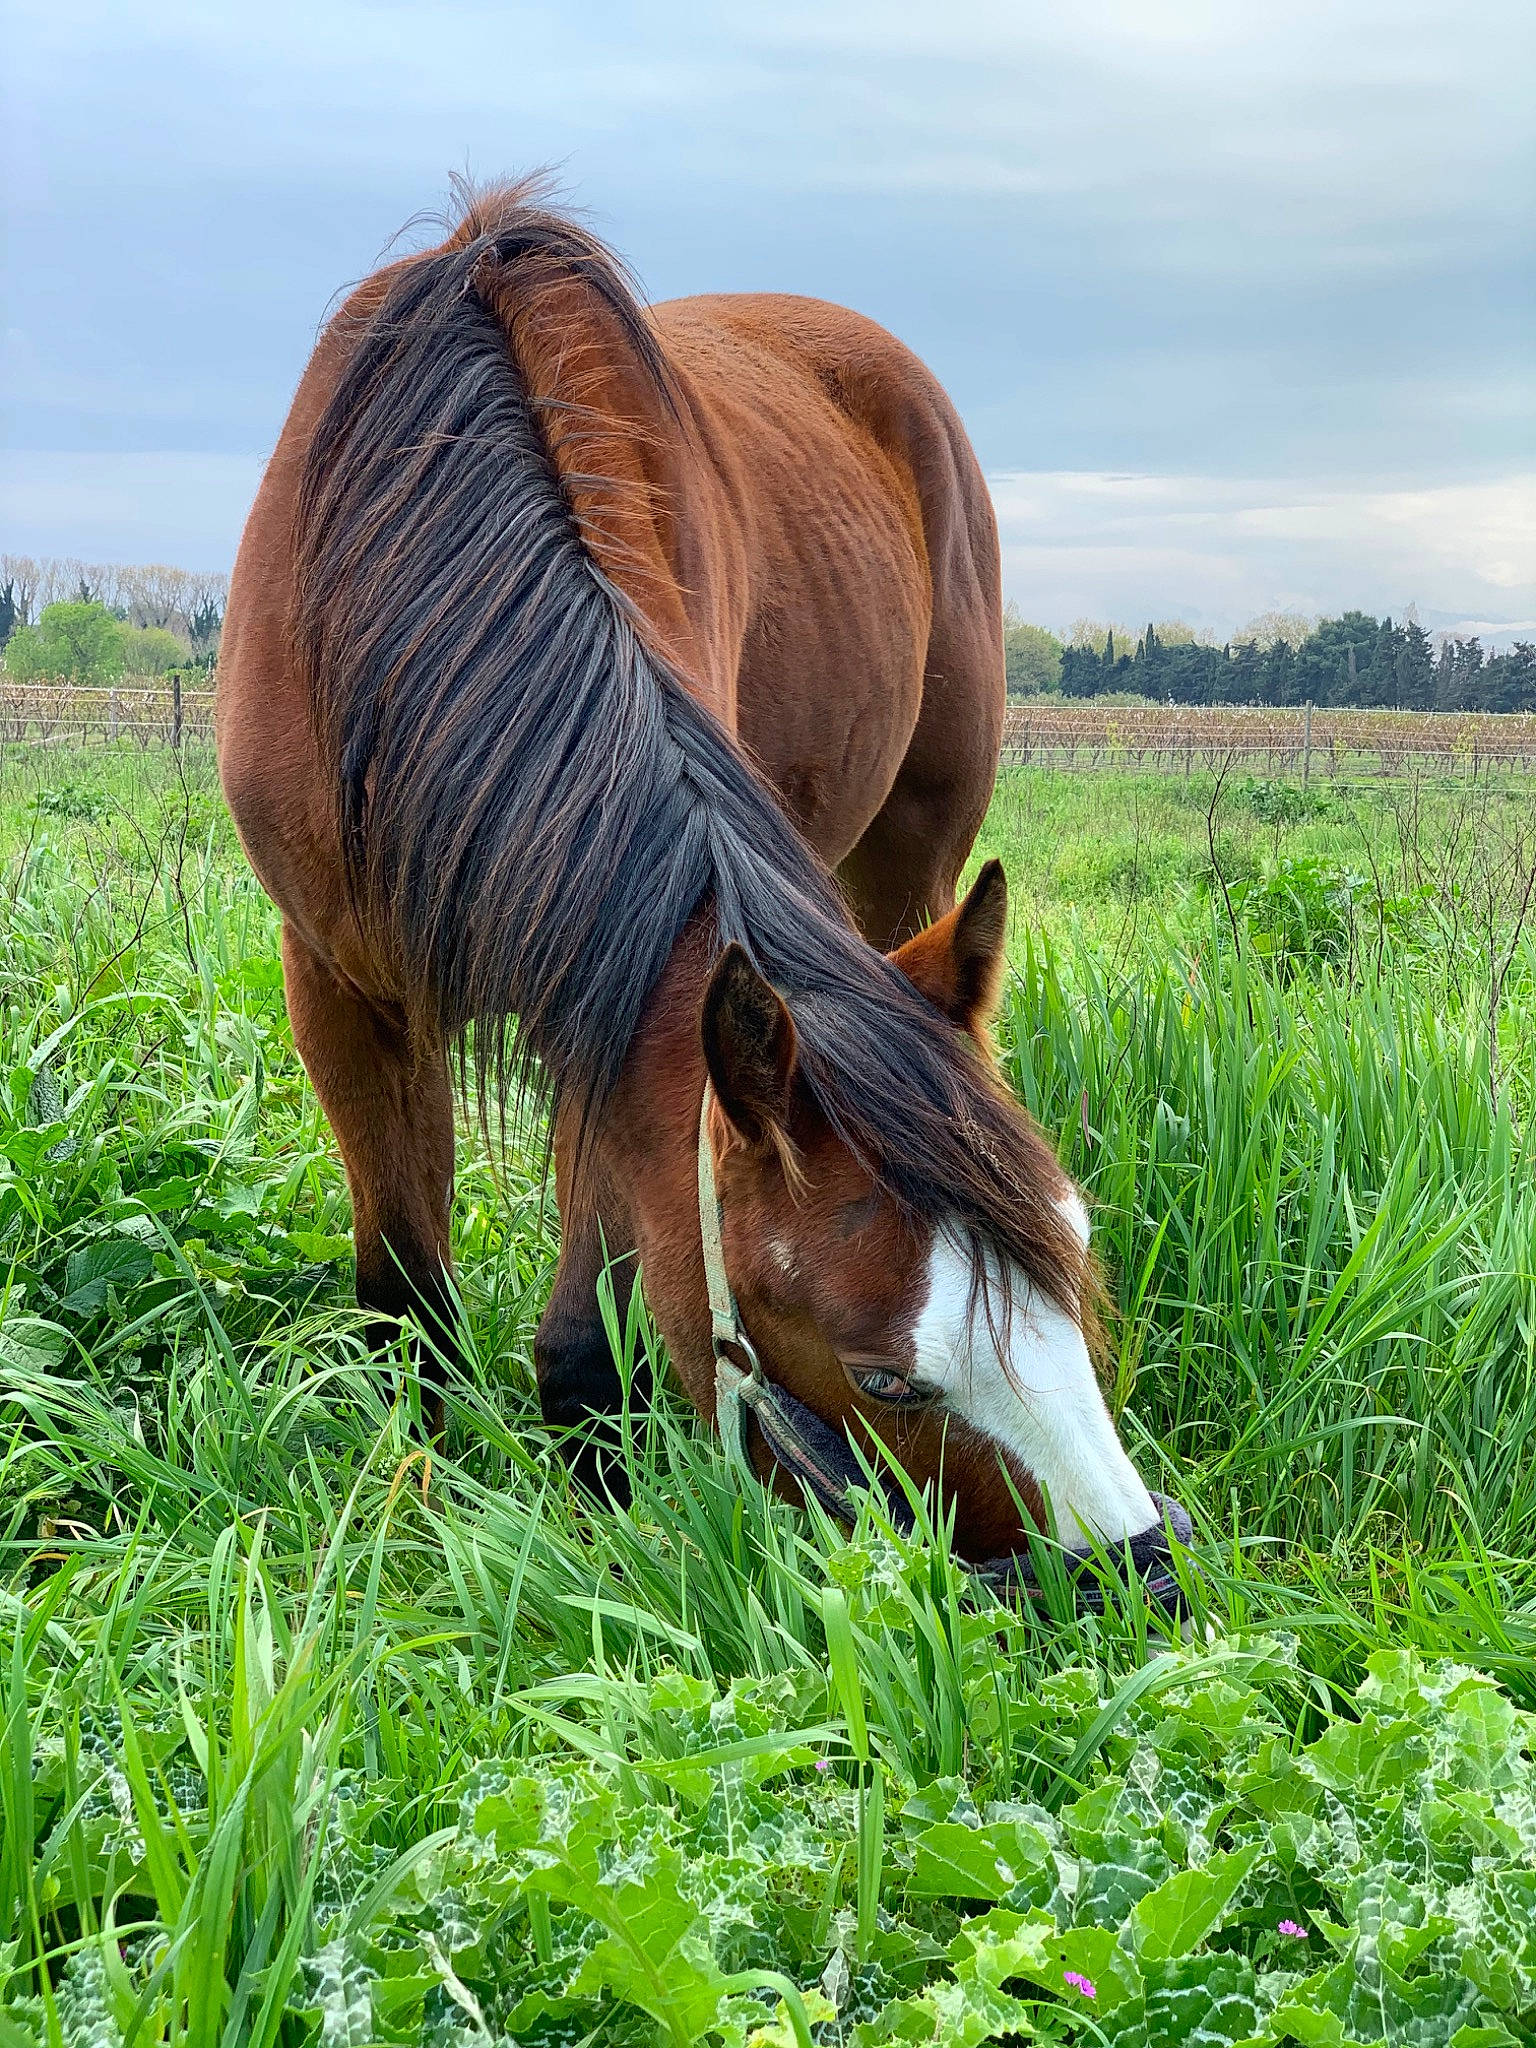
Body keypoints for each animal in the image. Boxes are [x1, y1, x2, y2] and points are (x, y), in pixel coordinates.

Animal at [217, 177, 1184, 1586]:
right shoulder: (342, 983)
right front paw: (419, 1516)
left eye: (1069, 1258)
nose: (1145, 1576)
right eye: (886, 1377)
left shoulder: (608, 1000)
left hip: (913, 859)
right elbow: (405, 1299)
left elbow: (586, 1338)